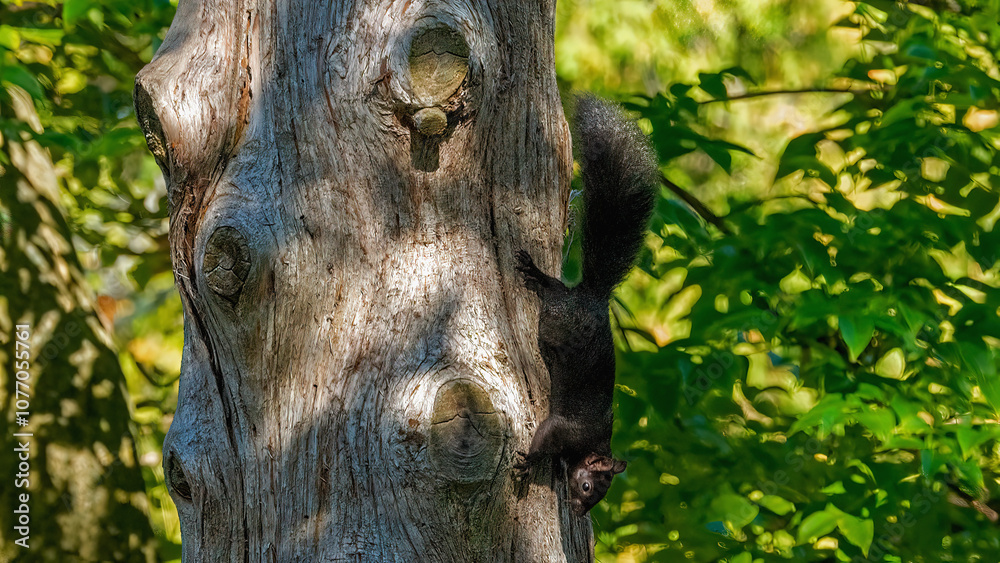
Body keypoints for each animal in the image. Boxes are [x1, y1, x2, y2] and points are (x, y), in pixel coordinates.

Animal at [515, 94, 657, 516]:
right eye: (590, 486)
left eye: (599, 496)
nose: (579, 512)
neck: (591, 445)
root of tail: (593, 297)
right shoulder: (563, 428)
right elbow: (543, 438)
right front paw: (529, 464)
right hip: (559, 319)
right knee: (554, 295)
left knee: (557, 287)